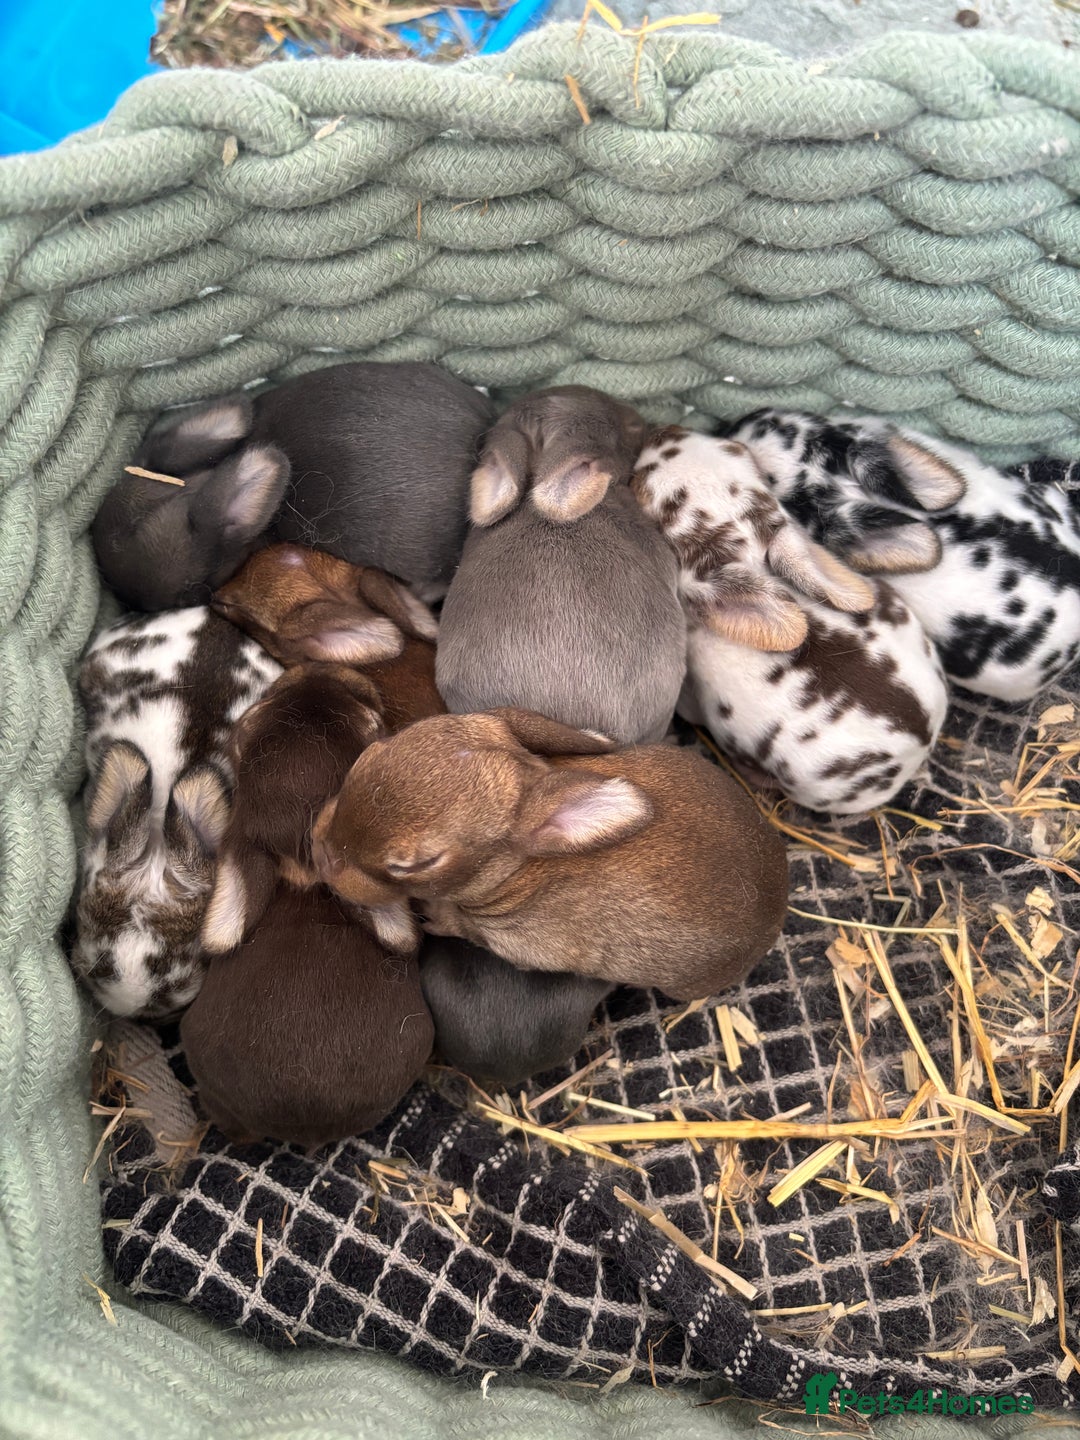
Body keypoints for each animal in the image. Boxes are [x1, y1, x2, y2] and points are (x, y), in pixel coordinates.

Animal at [311, 707, 789, 1002]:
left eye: (415, 865)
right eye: (369, 755)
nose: (322, 852)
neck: (513, 869)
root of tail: (778, 903)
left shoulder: (514, 941)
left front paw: (434, 918)